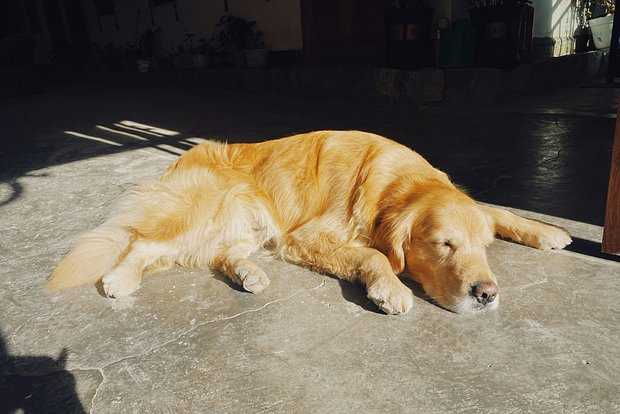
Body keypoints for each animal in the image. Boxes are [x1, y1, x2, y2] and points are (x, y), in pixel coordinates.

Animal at [48, 132, 572, 314]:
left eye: (484, 248)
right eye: (444, 245)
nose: (487, 294)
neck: (392, 180)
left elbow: (498, 210)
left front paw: (549, 231)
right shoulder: (307, 236)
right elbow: (375, 253)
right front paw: (390, 289)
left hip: (246, 222)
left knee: (218, 255)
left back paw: (249, 274)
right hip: (204, 208)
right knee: (139, 242)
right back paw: (117, 280)